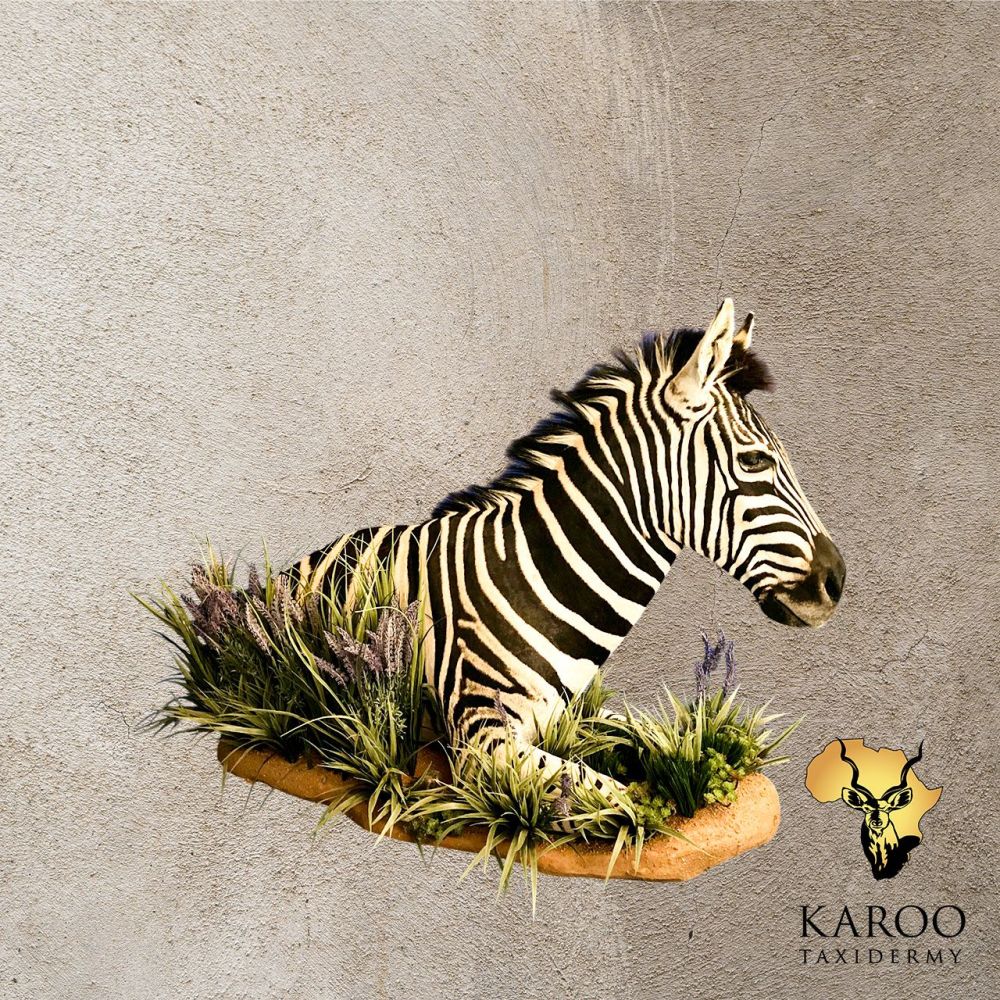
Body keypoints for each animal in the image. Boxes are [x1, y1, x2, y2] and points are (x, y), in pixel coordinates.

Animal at [285, 299, 846, 792]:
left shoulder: (573, 713)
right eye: (754, 461)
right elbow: (611, 800)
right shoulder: (481, 737)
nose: (837, 581)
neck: (534, 580)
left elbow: (651, 740)